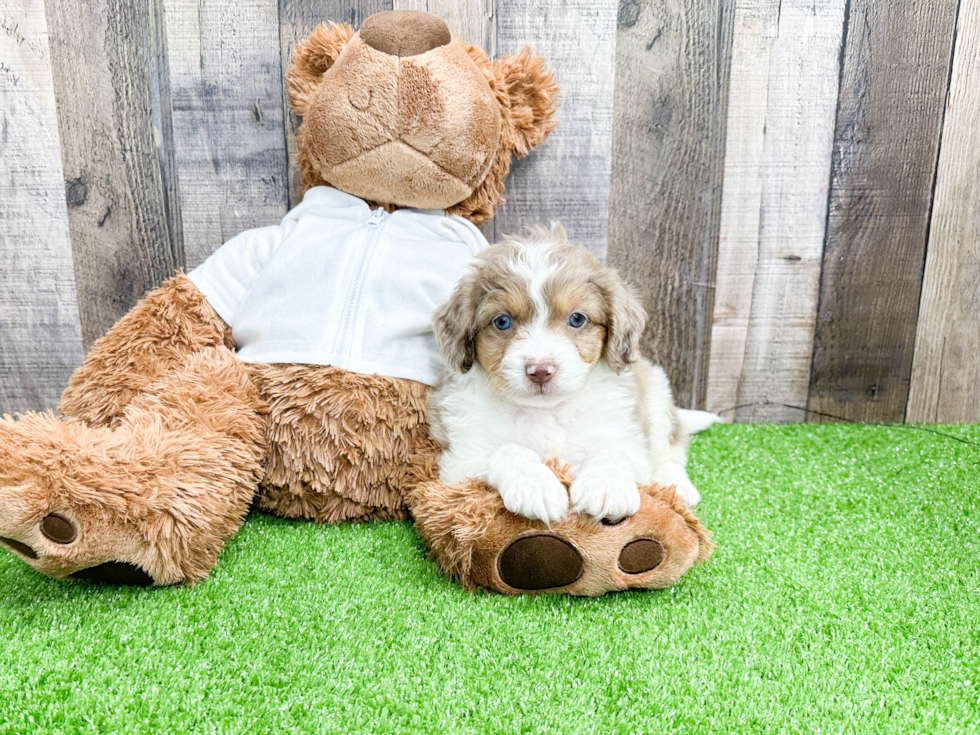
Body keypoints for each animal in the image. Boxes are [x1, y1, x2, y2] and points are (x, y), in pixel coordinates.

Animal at [428, 224, 720, 524]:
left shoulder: (626, 438)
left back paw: (677, 485)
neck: (546, 411)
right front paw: (536, 486)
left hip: (656, 395)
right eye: (502, 321)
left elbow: (613, 451)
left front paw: (607, 486)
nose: (540, 370)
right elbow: (507, 449)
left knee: (673, 446)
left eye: (577, 319)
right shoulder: (461, 460)